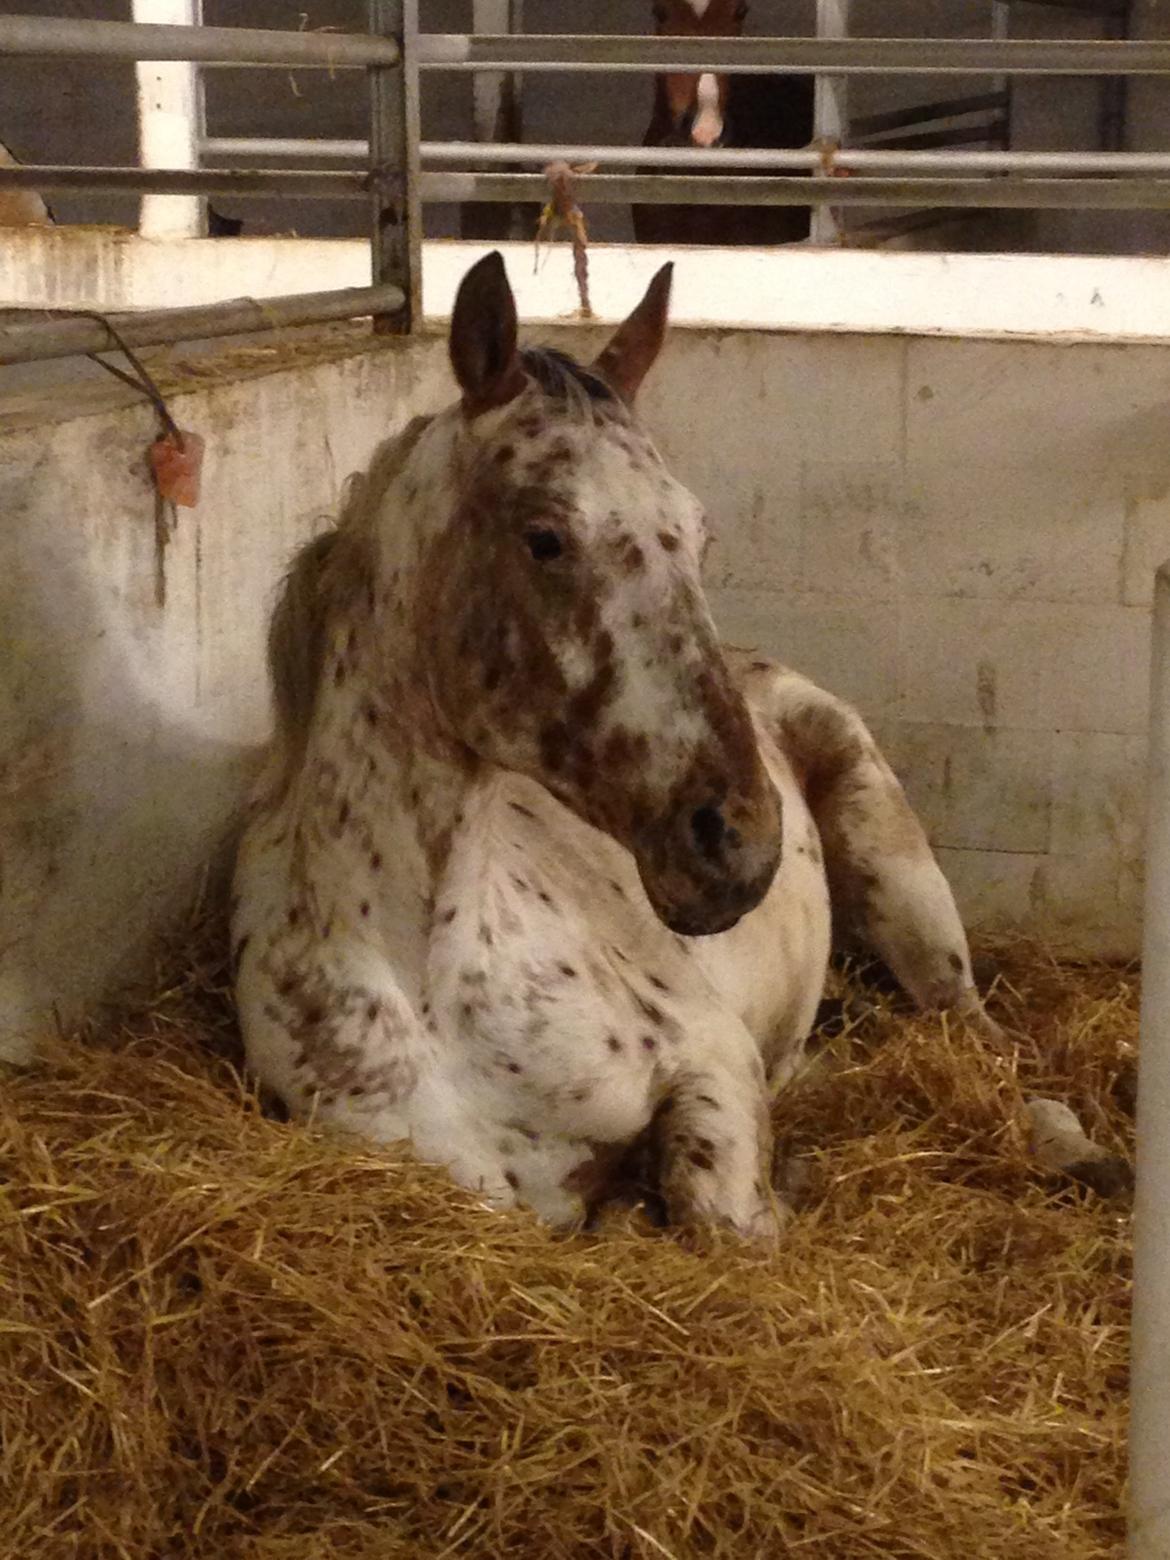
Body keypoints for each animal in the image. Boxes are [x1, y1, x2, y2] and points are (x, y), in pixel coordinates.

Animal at [230, 249, 1129, 1235]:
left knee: (981, 1040)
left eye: (699, 533)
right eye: (544, 537)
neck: (430, 970)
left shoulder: (713, 1063)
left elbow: (719, 1216)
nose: (743, 843)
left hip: (907, 888)